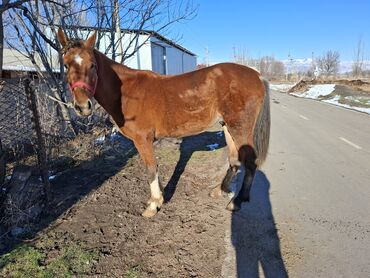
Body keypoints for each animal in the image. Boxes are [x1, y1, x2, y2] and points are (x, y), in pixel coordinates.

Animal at [58, 28, 272, 219]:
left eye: (92, 65)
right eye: (66, 65)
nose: (82, 106)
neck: (127, 92)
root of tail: (256, 75)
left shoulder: (142, 139)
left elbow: (151, 168)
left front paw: (154, 205)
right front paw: (158, 198)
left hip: (240, 128)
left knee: (249, 162)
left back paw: (237, 201)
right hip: (227, 126)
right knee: (234, 160)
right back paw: (219, 190)